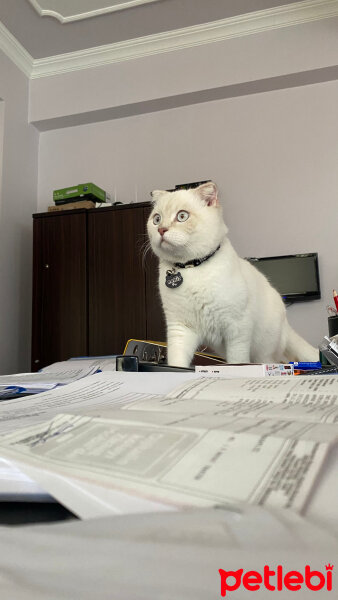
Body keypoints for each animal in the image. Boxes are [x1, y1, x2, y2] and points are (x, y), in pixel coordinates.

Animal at [147, 180, 318, 368]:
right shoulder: (180, 328)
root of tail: (286, 324)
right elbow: (177, 363)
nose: (161, 230)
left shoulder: (237, 329)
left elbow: (237, 362)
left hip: (263, 353)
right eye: (156, 219)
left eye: (182, 216)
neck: (191, 268)